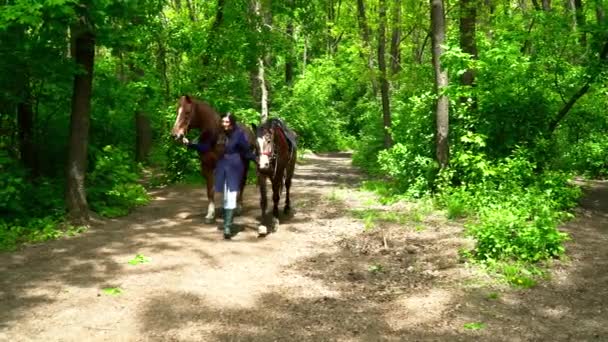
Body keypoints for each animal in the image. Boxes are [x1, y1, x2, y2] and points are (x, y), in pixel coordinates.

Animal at [171, 95, 254, 223]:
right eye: (177, 111)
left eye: (187, 112)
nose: (176, 135)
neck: (214, 136)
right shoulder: (206, 166)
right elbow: (210, 190)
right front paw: (210, 214)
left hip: (245, 164)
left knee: (242, 183)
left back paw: (239, 207)